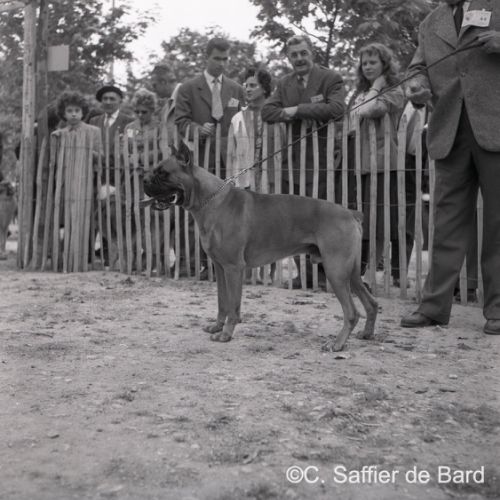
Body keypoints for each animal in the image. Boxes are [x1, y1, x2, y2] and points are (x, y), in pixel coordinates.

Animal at [143, 143, 378, 351]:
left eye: (163, 173)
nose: (145, 180)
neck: (211, 200)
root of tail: (351, 213)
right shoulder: (220, 268)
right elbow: (222, 302)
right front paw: (217, 326)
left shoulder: (234, 269)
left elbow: (233, 305)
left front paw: (226, 334)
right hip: (351, 273)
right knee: (371, 303)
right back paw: (367, 334)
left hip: (335, 271)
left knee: (352, 312)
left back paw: (337, 344)